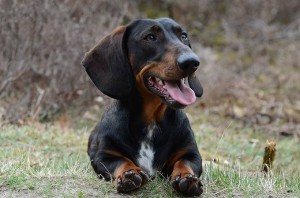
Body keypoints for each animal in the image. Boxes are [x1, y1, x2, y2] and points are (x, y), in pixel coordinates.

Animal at [82, 18, 204, 196]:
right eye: (150, 37)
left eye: (183, 35)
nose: (192, 62)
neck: (151, 121)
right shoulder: (104, 157)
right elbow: (121, 161)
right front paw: (129, 174)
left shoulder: (191, 153)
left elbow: (184, 163)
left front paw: (187, 178)